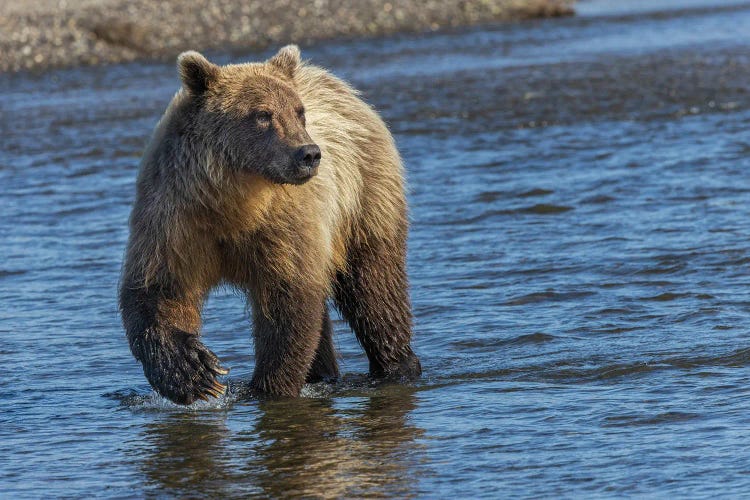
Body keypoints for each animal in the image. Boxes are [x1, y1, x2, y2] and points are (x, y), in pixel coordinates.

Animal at [120, 45, 420, 404]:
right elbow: (160, 291)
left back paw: (396, 365)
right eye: (263, 115)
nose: (309, 153)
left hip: (362, 197)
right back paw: (325, 373)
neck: (232, 203)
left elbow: (288, 302)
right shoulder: (177, 218)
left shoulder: (281, 225)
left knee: (373, 287)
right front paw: (196, 373)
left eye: (299, 112)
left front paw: (267, 389)